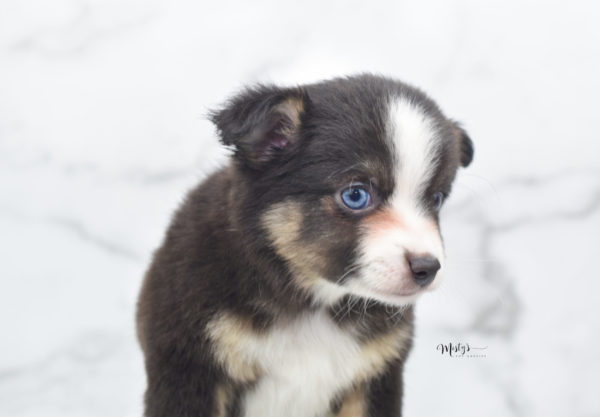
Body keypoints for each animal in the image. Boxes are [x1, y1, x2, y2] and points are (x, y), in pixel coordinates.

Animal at [136, 74, 474, 416]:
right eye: (355, 195)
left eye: (436, 199)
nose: (427, 267)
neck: (312, 304)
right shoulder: (190, 371)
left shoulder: (375, 379)